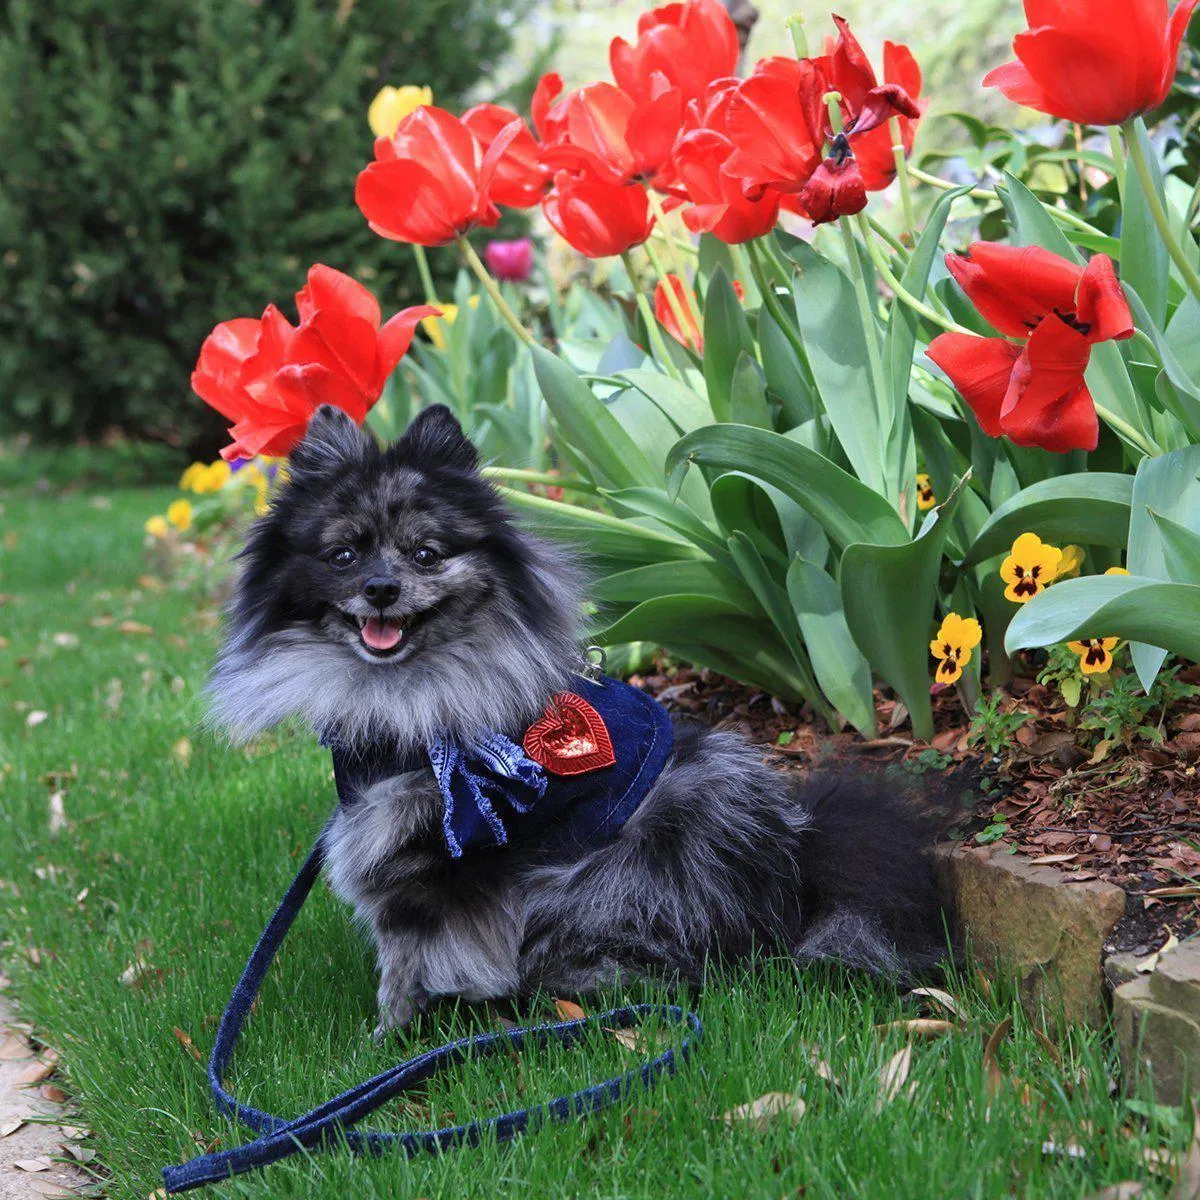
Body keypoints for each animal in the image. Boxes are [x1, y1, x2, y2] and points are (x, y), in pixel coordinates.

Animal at [211, 408, 950, 1036]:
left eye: (426, 554)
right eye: (344, 556)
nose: (381, 589)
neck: (407, 695)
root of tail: (797, 860)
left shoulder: (452, 857)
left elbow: (413, 951)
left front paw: (393, 1037)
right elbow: (401, 948)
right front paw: (392, 1032)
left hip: (627, 862)